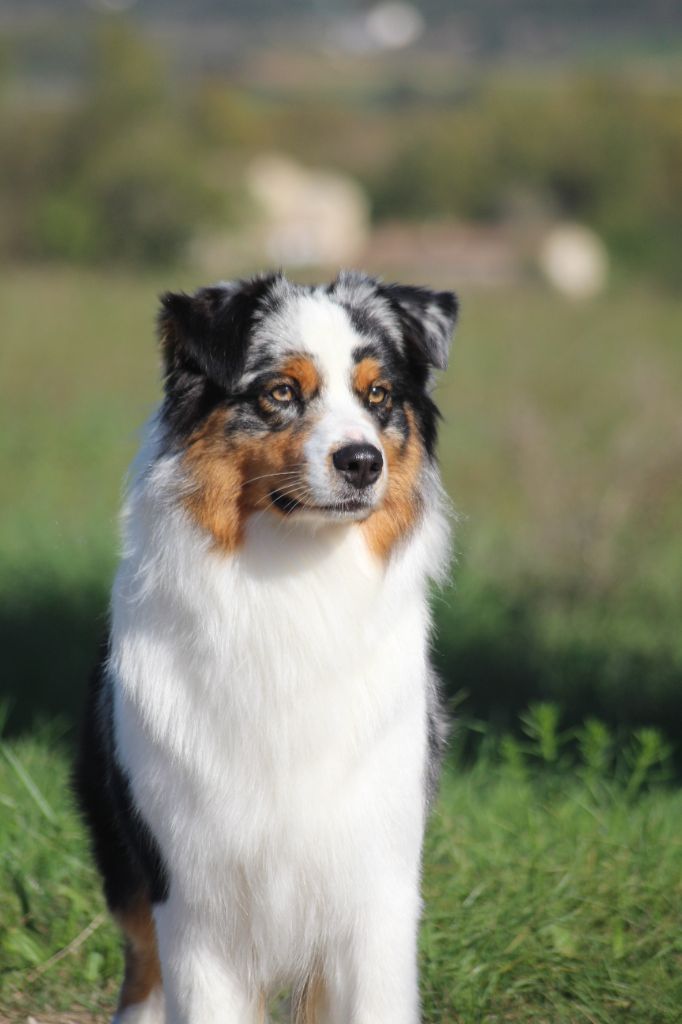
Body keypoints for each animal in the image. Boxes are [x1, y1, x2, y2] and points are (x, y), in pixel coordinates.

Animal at [73, 270, 456, 1024]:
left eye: (378, 396)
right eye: (280, 391)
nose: (362, 461)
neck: (295, 584)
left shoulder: (377, 887)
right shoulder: (191, 895)